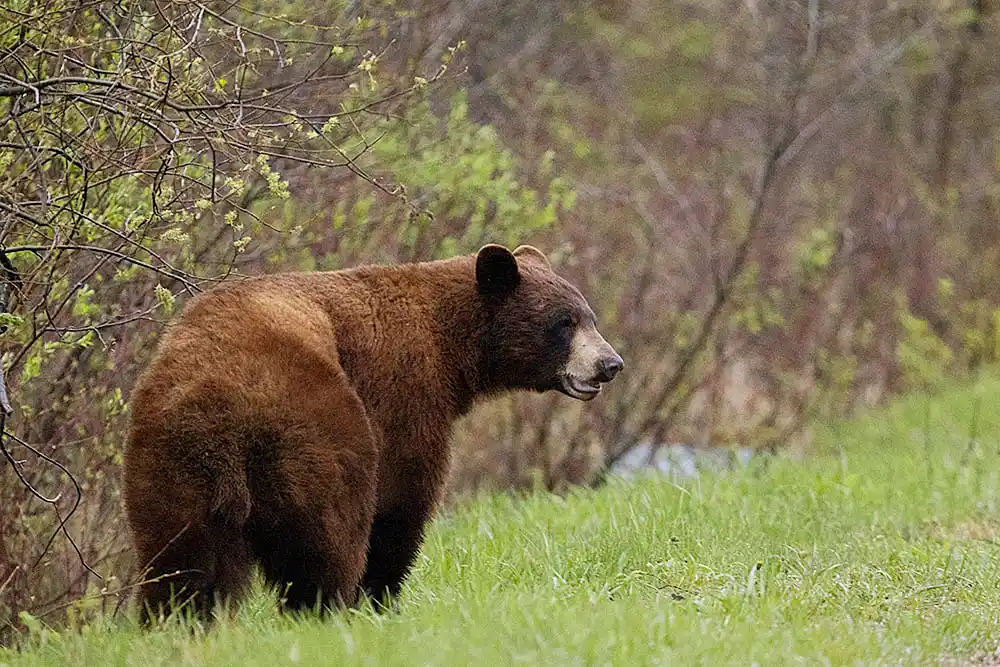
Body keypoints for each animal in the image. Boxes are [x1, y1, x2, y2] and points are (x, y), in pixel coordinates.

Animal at [122, 243, 623, 624]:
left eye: (589, 317)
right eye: (564, 323)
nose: (610, 363)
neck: (450, 345)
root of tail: (226, 403)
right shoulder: (402, 386)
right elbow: (402, 498)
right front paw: (382, 595)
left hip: (173, 459)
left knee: (180, 558)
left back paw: (175, 621)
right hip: (317, 427)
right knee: (330, 531)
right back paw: (327, 608)